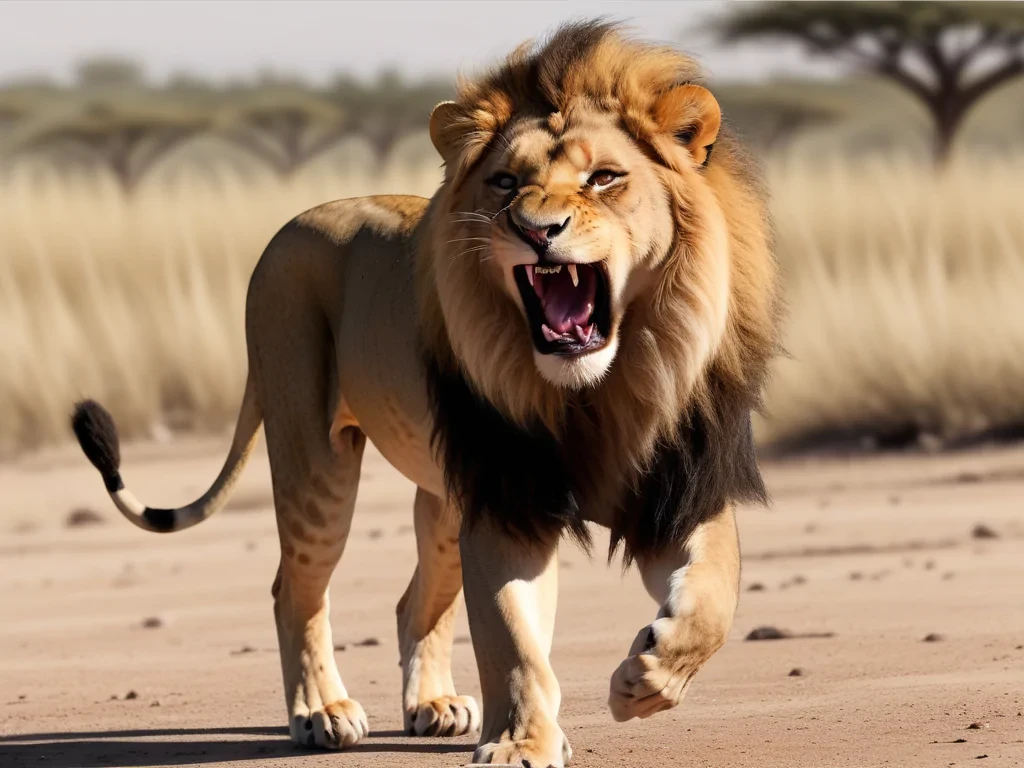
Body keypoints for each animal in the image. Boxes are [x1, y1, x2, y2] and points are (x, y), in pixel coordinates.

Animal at [71, 20, 778, 766]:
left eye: (604, 178)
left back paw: (433, 705)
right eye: (506, 182)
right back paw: (320, 711)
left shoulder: (680, 490)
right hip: (316, 463)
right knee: (294, 589)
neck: (597, 392)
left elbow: (715, 595)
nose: (536, 229)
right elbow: (511, 640)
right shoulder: (506, 501)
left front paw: (647, 676)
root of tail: (297, 221)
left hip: (442, 500)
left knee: (415, 602)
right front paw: (521, 743)